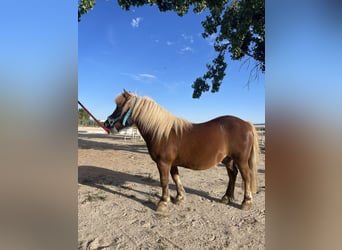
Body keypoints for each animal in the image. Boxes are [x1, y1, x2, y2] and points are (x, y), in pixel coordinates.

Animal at [104, 90, 260, 211]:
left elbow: (164, 181)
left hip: (241, 160)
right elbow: (175, 178)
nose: (106, 123)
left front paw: (163, 202)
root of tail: (246, 123)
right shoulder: (172, 163)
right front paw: (179, 197)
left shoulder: (163, 163)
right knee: (232, 175)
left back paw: (246, 202)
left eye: (119, 106)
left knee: (246, 176)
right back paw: (226, 197)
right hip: (228, 159)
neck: (162, 132)